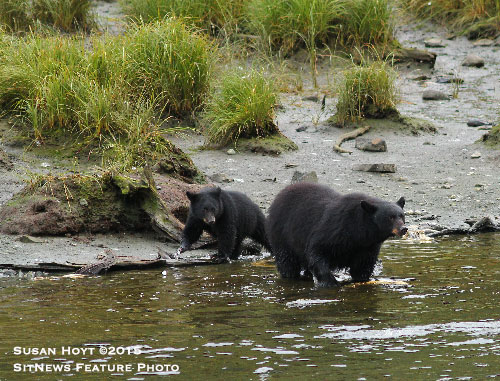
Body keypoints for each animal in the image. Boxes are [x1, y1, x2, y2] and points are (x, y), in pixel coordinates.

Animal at [266, 183, 406, 286]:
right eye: (390, 217)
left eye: (402, 215)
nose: (403, 229)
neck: (360, 231)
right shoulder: (335, 229)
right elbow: (317, 251)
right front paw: (330, 282)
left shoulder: (368, 246)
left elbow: (362, 266)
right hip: (282, 234)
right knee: (287, 260)